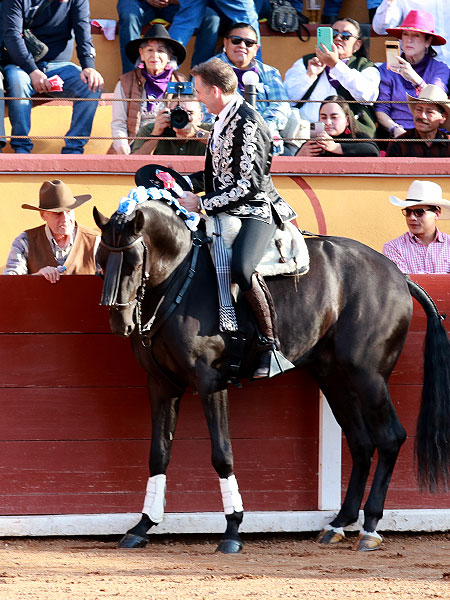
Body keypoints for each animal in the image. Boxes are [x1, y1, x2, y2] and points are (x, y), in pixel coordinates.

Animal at [93, 197, 450, 552]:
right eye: (100, 261)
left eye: (133, 261)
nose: (120, 322)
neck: (181, 279)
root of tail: (398, 275)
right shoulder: (161, 384)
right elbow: (158, 454)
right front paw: (142, 527)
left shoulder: (210, 381)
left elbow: (222, 454)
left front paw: (233, 530)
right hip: (334, 377)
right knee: (361, 442)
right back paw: (338, 523)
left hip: (369, 376)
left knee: (389, 437)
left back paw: (371, 526)